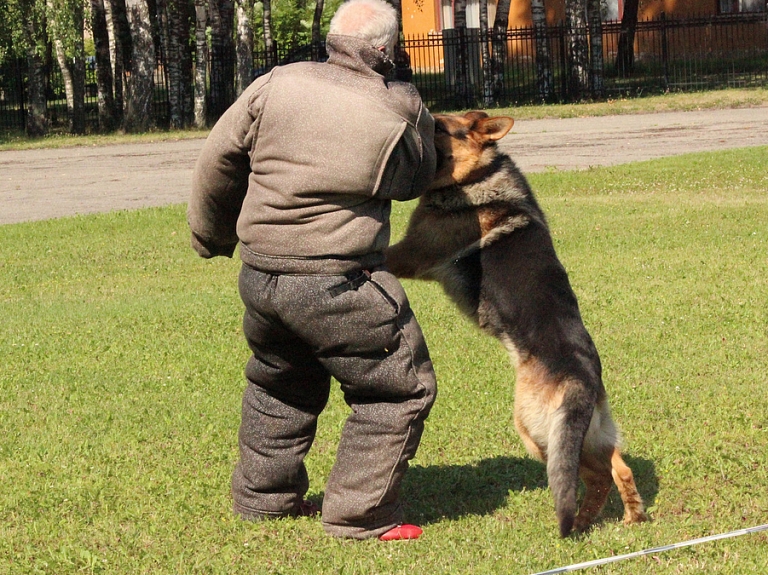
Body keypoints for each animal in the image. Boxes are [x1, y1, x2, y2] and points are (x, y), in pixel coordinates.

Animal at [384, 113, 648, 540]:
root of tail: (583, 377)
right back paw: (624, 518)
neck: (480, 173)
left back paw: (581, 522)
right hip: (588, 434)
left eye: (439, 127)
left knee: (592, 475)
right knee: (618, 469)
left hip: (536, 434)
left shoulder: (409, 254)